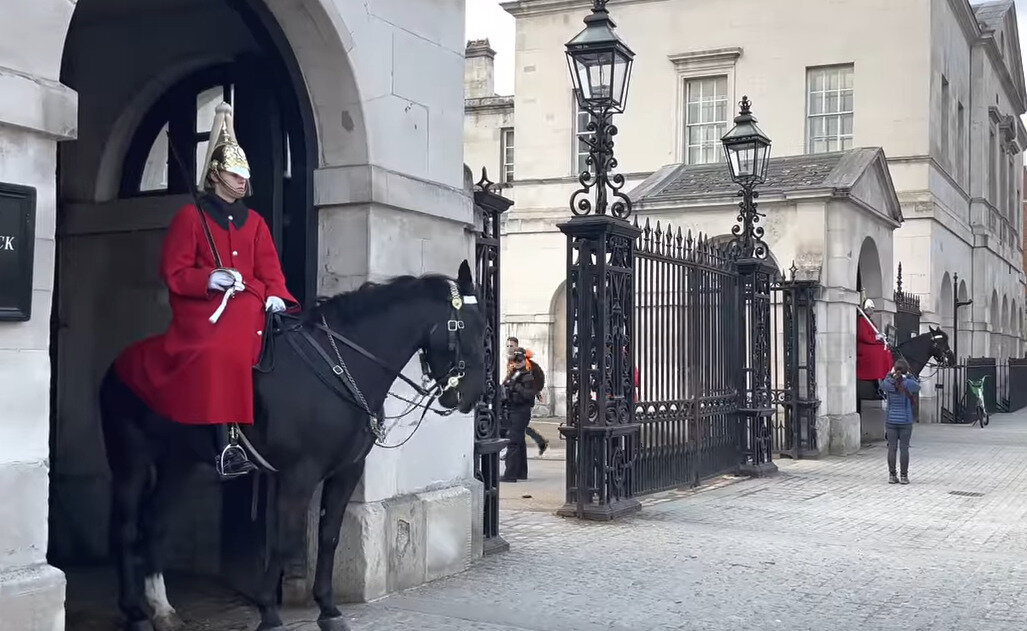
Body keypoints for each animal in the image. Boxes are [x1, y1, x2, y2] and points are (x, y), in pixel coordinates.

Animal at [100, 263, 484, 631]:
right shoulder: (299, 474)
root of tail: (119, 363)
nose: (472, 397)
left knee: (154, 523)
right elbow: (285, 539)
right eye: (471, 328)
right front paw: (269, 612)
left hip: (179, 464)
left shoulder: (347, 471)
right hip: (130, 461)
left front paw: (328, 609)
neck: (343, 366)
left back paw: (163, 609)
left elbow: (329, 535)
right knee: (126, 527)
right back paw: (134, 611)